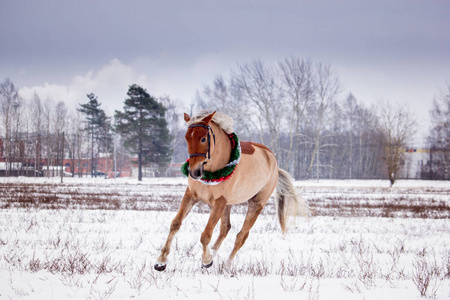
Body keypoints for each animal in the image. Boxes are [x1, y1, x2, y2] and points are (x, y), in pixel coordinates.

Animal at [156, 111, 310, 270]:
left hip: (256, 203)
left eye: (203, 138)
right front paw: (161, 261)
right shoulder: (191, 196)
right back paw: (214, 253)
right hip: (228, 205)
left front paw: (206, 261)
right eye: (187, 137)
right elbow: (175, 224)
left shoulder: (219, 202)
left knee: (241, 236)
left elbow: (206, 235)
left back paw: (227, 264)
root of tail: (274, 164)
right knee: (225, 228)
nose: (194, 172)